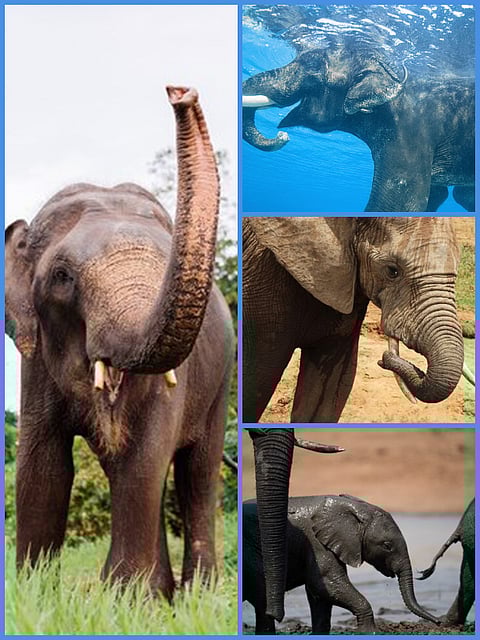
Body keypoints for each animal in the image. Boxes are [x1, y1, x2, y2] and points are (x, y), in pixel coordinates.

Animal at [5, 86, 234, 599]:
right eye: (62, 277)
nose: (179, 92)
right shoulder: (34, 363)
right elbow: (42, 464)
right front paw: (34, 595)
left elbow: (143, 457)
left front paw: (129, 599)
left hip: (222, 383)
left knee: (196, 473)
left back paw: (197, 593)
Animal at [243, 494, 440, 634]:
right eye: (387, 545)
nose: (438, 622)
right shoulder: (316, 543)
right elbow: (326, 584)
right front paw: (370, 632)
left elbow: (320, 596)